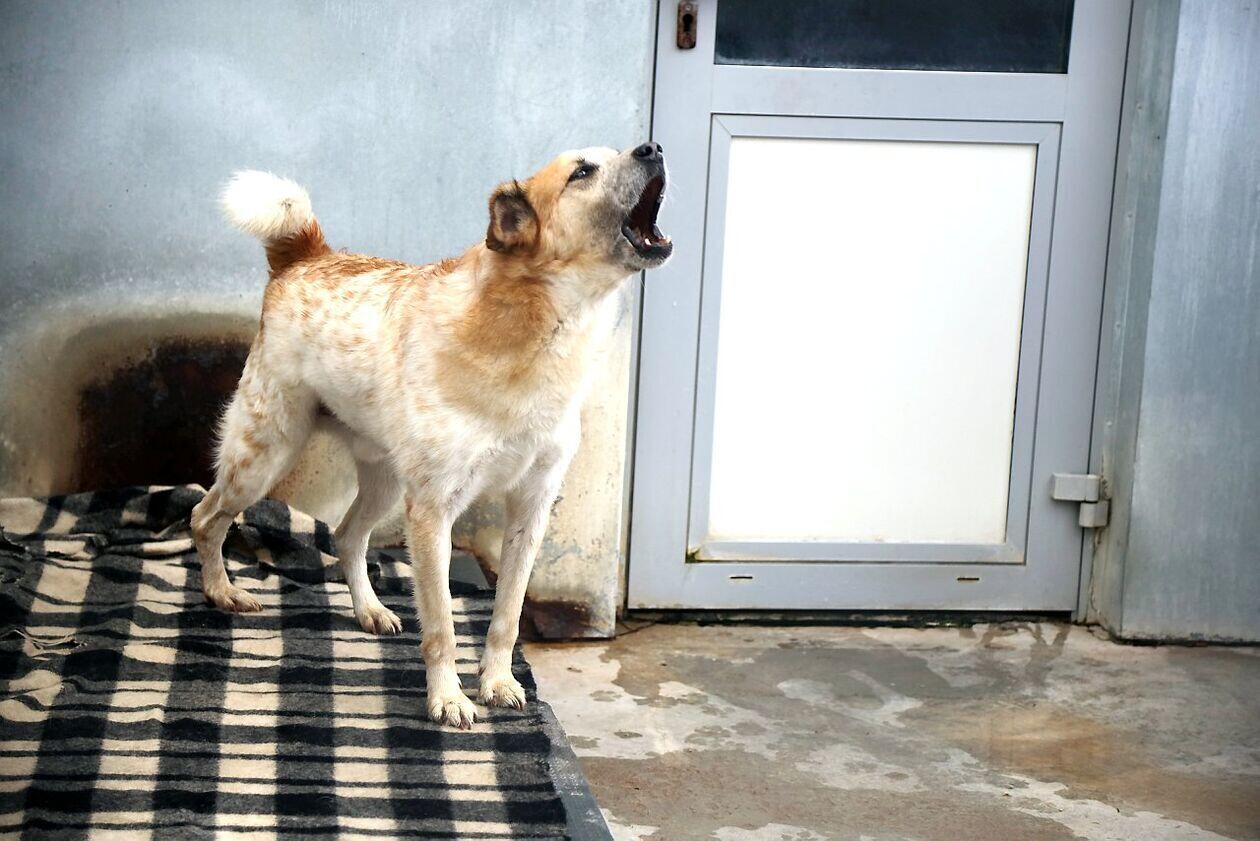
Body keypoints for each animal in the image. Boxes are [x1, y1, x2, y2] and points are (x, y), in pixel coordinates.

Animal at [190, 142, 671, 728]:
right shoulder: (434, 511)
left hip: (385, 482)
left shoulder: (531, 508)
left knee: (346, 535)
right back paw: (222, 594)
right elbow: (441, 623)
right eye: (582, 171)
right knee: (205, 517)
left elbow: (507, 615)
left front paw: (498, 683)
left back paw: (370, 610)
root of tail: (306, 256)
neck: (533, 334)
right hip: (265, 455)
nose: (654, 148)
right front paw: (448, 698)